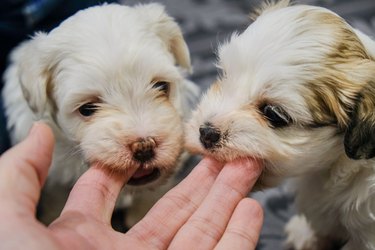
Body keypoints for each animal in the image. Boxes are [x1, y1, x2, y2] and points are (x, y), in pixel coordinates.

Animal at [2, 3, 200, 227]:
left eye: (161, 86)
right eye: (87, 109)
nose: (144, 147)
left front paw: (143, 212)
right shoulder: (55, 176)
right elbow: (57, 197)